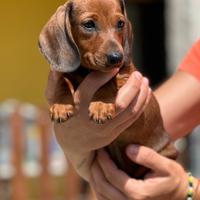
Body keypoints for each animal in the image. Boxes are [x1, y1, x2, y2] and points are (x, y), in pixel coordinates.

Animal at [39, 0, 177, 178]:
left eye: (120, 23)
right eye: (89, 24)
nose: (117, 58)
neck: (87, 71)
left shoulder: (126, 75)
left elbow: (107, 82)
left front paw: (101, 105)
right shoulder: (65, 73)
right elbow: (63, 81)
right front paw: (61, 105)